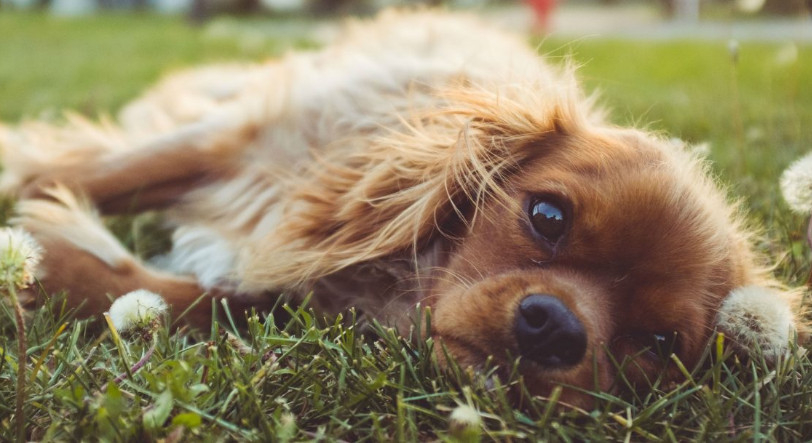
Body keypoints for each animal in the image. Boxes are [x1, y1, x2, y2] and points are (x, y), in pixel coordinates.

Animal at [0, 10, 804, 408]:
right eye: (547, 217)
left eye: (656, 344)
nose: (555, 327)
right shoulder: (236, 143)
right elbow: (82, 169)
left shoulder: (284, 289)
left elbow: (193, 301)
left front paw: (54, 266)